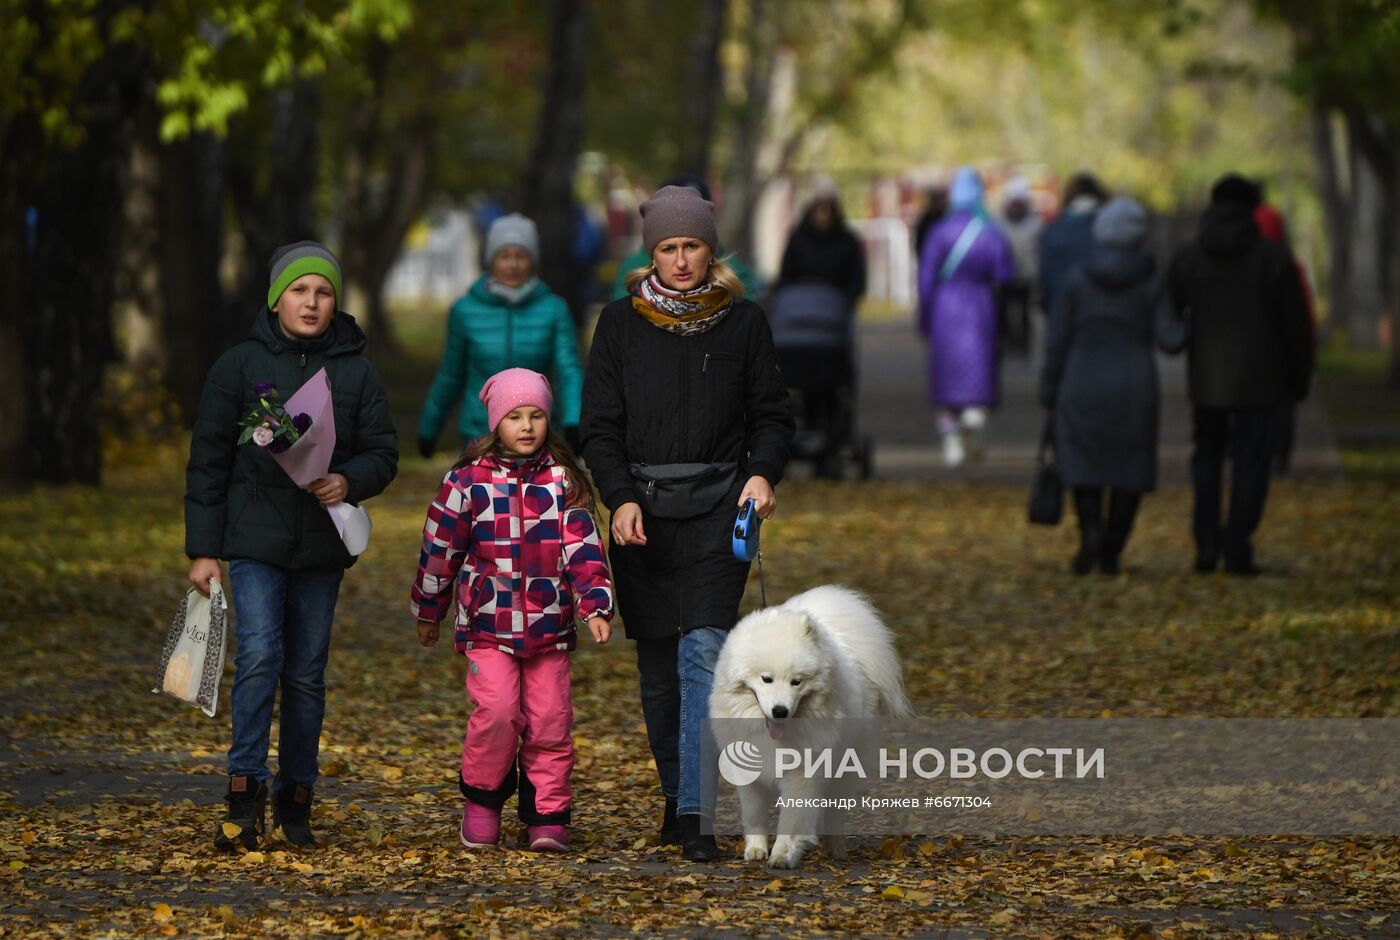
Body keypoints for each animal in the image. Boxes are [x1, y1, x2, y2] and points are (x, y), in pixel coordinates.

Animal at [705, 585, 912, 874]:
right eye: (766, 679)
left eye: (797, 682)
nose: (780, 710)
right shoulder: (749, 774)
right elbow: (754, 814)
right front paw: (755, 850)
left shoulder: (802, 772)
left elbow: (792, 818)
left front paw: (783, 855)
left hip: (844, 769)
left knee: (836, 812)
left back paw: (835, 848)